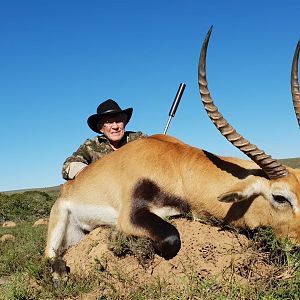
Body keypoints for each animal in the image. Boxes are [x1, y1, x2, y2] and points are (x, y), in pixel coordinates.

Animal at [45, 28, 298, 268]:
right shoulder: (129, 218)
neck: (176, 165)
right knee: (49, 259)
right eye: (280, 197)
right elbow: (171, 237)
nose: (296, 244)